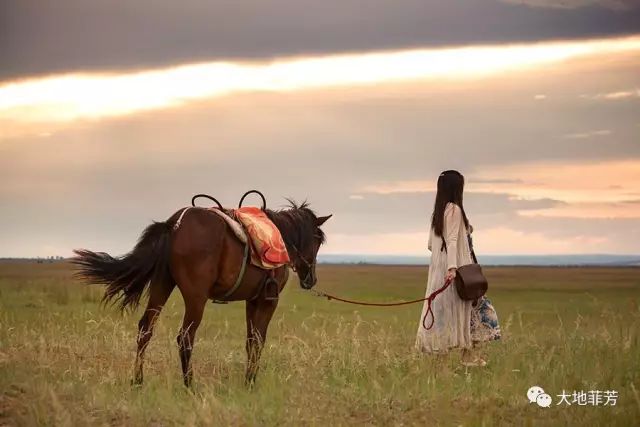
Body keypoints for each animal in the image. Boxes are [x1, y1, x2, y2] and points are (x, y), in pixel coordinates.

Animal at [72, 201, 332, 388]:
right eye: (317, 240)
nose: (311, 279)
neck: (279, 236)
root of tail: (175, 223)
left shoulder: (252, 300)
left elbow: (250, 341)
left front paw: (248, 379)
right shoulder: (268, 301)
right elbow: (258, 340)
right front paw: (251, 381)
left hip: (161, 285)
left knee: (146, 329)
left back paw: (138, 380)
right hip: (196, 298)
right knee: (185, 337)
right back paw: (189, 385)